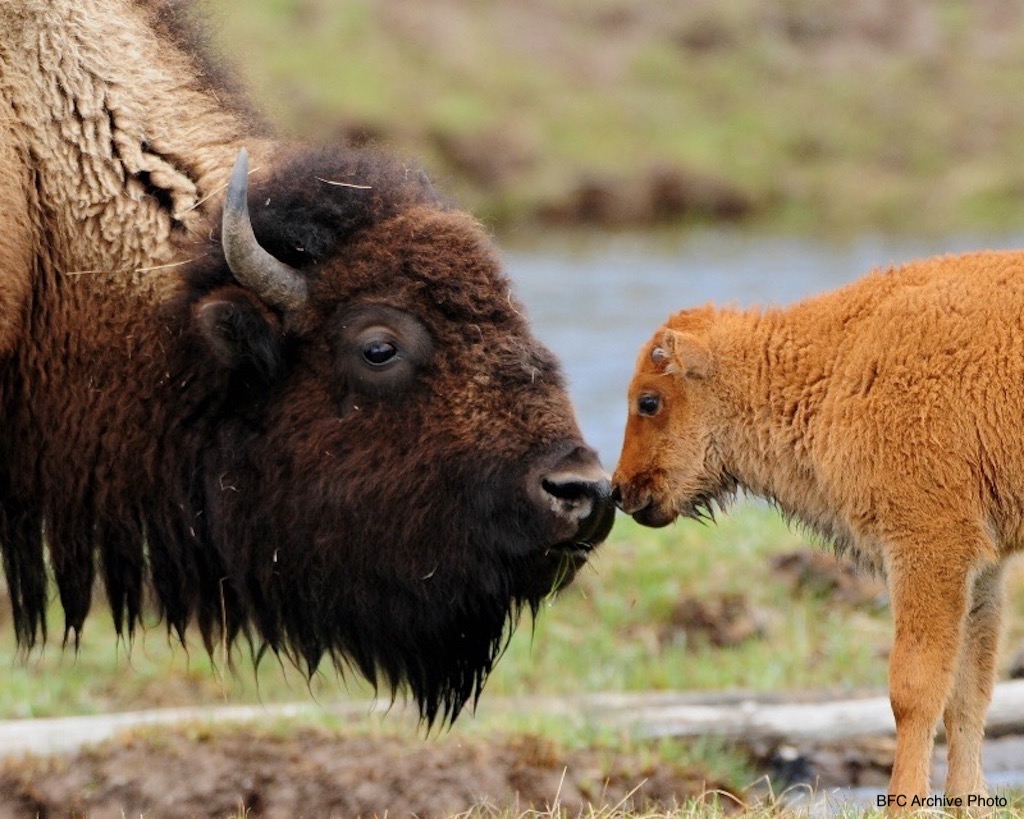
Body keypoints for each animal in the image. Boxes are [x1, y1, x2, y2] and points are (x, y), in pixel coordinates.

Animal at [612, 255, 1024, 801]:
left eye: (649, 401)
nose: (617, 491)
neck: (841, 361)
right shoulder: (982, 570)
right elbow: (968, 693)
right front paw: (965, 803)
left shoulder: (927, 546)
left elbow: (913, 690)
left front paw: (903, 804)